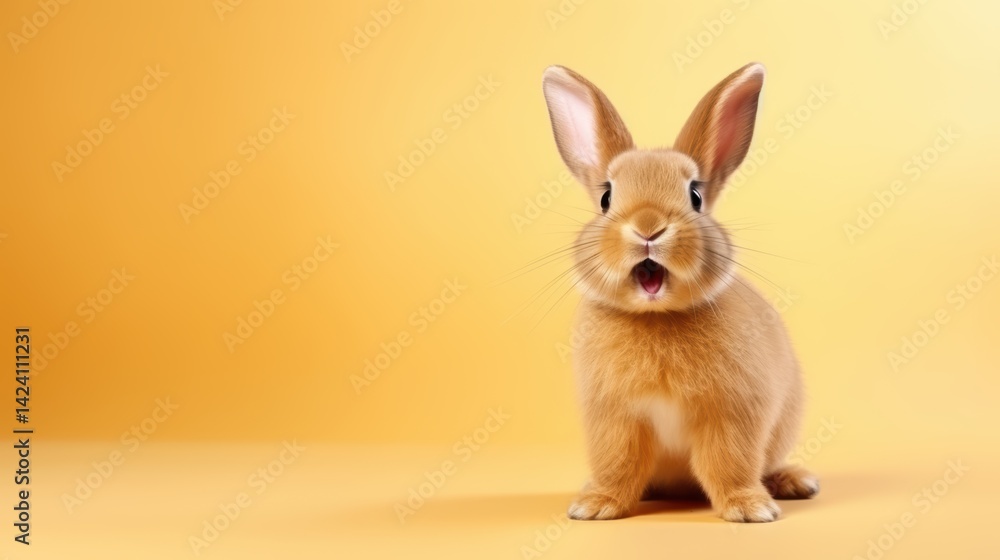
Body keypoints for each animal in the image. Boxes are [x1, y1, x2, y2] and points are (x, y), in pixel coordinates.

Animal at [540, 62, 817, 523]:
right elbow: (617, 464)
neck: (658, 317)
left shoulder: (733, 414)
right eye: (606, 197)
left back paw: (794, 482)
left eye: (695, 196)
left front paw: (750, 509)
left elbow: (729, 464)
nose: (648, 227)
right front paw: (595, 507)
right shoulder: (614, 420)